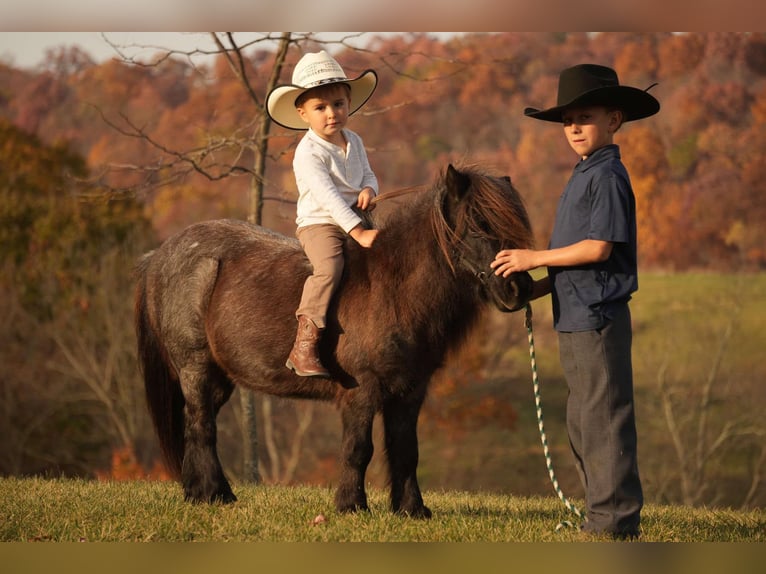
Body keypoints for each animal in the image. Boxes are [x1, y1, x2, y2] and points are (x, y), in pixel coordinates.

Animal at [135, 164, 536, 520]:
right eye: (477, 224)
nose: (517, 290)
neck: (392, 288)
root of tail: (159, 256)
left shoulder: (410, 391)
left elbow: (406, 450)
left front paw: (411, 510)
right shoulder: (362, 390)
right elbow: (359, 449)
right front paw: (351, 506)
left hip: (218, 378)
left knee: (195, 423)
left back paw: (200, 492)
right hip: (195, 367)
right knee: (202, 425)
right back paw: (214, 494)